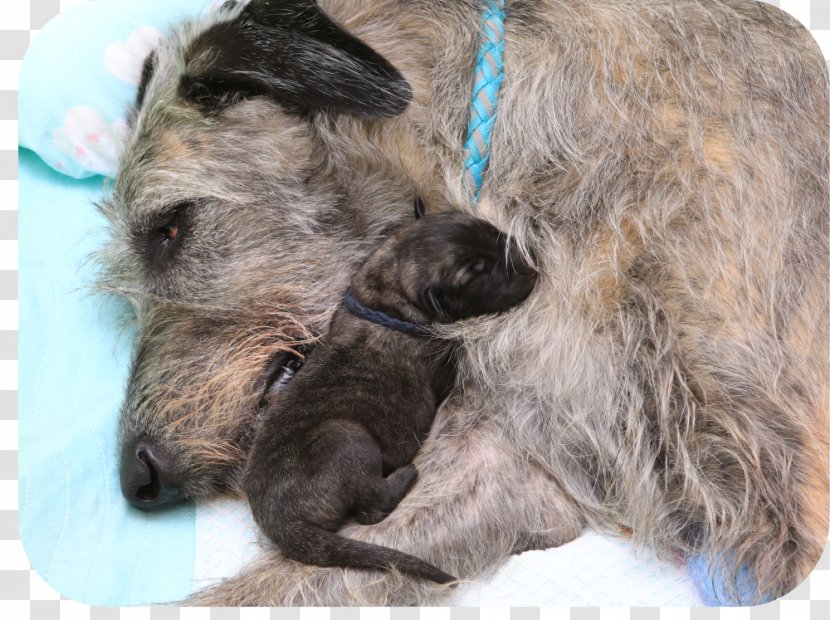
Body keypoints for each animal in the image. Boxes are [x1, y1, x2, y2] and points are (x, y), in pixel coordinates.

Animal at [244, 211, 536, 584]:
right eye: (478, 272)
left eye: (492, 232)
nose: (530, 265)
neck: (387, 302)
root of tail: (280, 524)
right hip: (345, 438)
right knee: (371, 506)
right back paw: (405, 475)